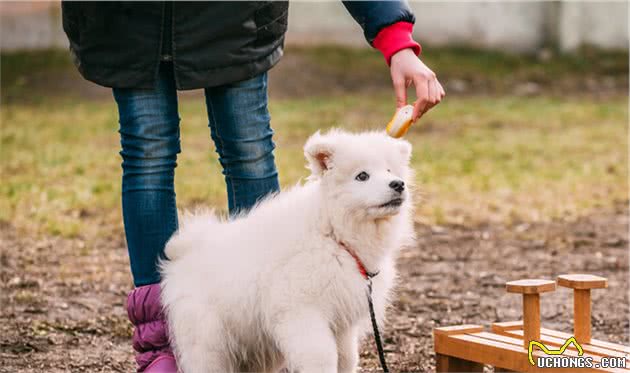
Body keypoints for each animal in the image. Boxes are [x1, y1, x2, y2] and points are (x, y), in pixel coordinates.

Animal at [159, 129, 414, 372]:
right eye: (362, 176)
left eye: (390, 170)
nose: (398, 184)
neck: (332, 233)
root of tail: (185, 251)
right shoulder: (302, 311)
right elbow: (322, 357)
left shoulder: (342, 321)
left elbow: (347, 358)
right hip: (208, 342)